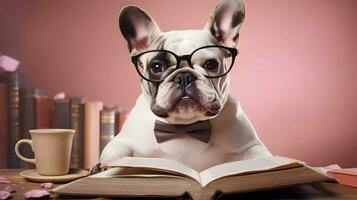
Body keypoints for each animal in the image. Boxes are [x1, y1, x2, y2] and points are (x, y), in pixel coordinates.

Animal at [96, 0, 270, 172]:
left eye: (211, 64)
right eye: (157, 67)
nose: (184, 76)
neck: (183, 127)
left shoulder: (252, 145)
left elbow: (262, 158)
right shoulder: (122, 141)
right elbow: (114, 153)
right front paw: (100, 167)